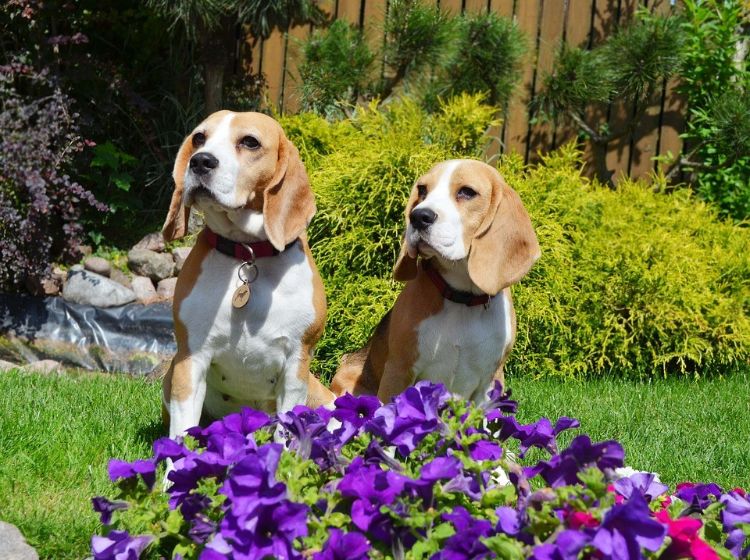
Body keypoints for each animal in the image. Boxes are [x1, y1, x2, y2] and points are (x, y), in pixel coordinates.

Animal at [163, 110, 334, 442]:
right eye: (199, 138)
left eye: (250, 142)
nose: (200, 161)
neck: (248, 254)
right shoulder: (190, 359)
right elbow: (182, 432)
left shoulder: (296, 363)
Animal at [334, 160, 540, 404]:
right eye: (422, 190)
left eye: (467, 192)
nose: (418, 216)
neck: (462, 298)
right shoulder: (398, 370)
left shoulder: (490, 383)